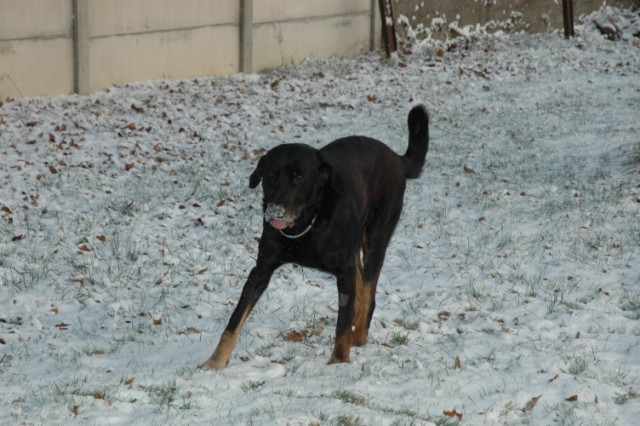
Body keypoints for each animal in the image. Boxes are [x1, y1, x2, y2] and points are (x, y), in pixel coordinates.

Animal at [205, 105, 430, 368]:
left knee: (369, 290)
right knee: (361, 283)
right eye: (270, 175)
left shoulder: (343, 270)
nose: (275, 211)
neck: (305, 226)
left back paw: (359, 336)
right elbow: (235, 319)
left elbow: (341, 326)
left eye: (300, 177)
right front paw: (214, 363)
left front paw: (339, 363)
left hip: (375, 238)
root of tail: (397, 157)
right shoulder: (262, 268)